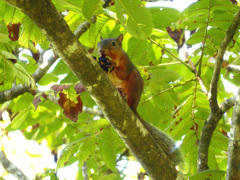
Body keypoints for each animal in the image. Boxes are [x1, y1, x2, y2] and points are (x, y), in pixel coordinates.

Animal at [96, 34, 181, 166]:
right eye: (98, 45)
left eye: (113, 44)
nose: (101, 51)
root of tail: (134, 107)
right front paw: (101, 62)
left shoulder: (127, 64)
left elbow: (122, 74)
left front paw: (113, 64)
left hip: (134, 81)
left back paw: (124, 98)